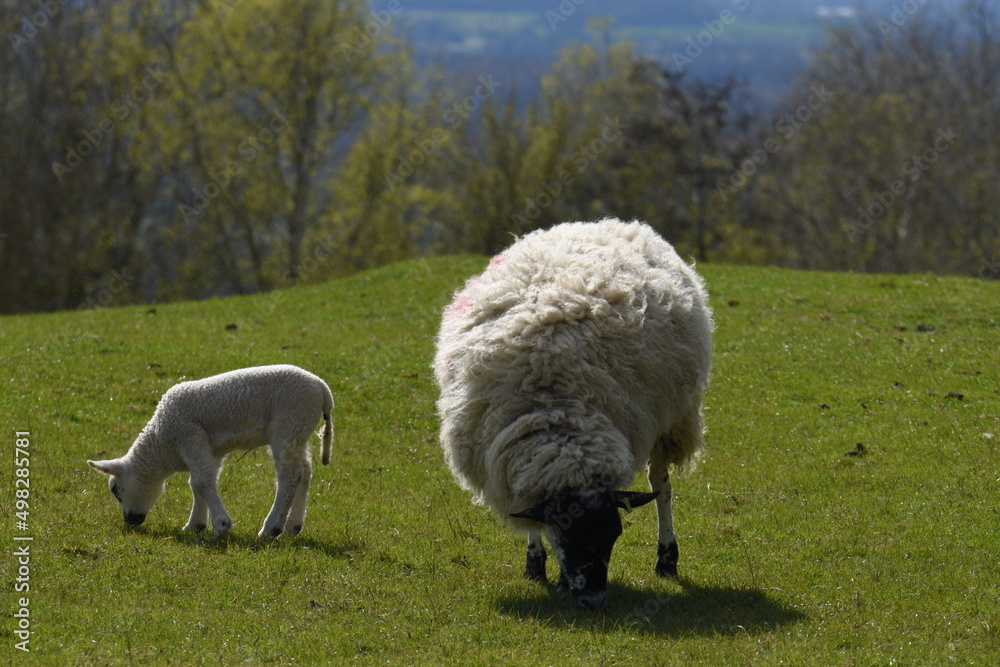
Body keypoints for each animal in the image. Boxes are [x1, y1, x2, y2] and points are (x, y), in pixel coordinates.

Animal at [88, 364, 334, 538]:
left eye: (116, 491)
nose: (130, 521)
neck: (162, 443)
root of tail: (322, 388)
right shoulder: (210, 450)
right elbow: (200, 482)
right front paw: (196, 525)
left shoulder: (189, 435)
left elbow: (201, 482)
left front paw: (221, 526)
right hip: (299, 430)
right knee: (305, 471)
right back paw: (293, 526)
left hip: (289, 423)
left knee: (289, 476)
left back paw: (271, 528)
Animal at [434, 218, 713, 609]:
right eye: (565, 536)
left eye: (614, 534)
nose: (593, 600)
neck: (559, 417)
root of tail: (605, 223)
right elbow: (532, 518)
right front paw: (536, 566)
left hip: (671, 418)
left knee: (660, 485)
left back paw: (666, 558)